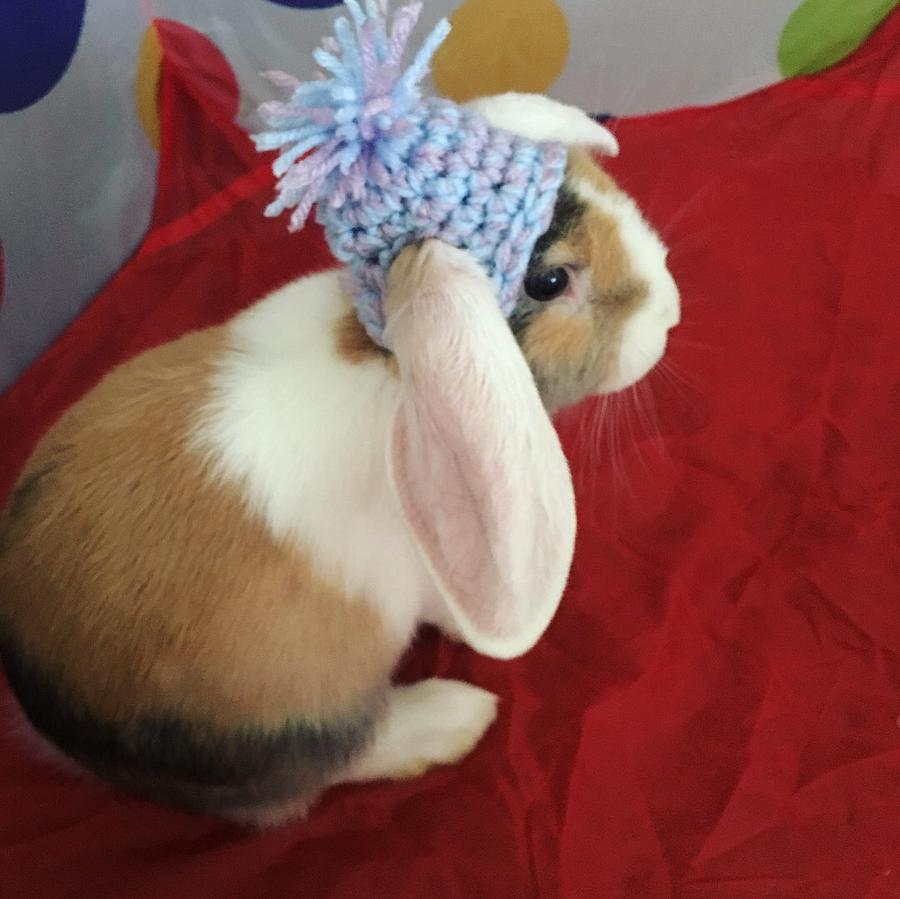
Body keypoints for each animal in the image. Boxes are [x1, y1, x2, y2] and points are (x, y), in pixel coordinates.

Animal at [0, 93, 680, 828]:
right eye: (551, 280)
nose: (670, 313)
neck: (387, 355)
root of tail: (49, 716)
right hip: (293, 719)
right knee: (339, 762)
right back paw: (454, 715)